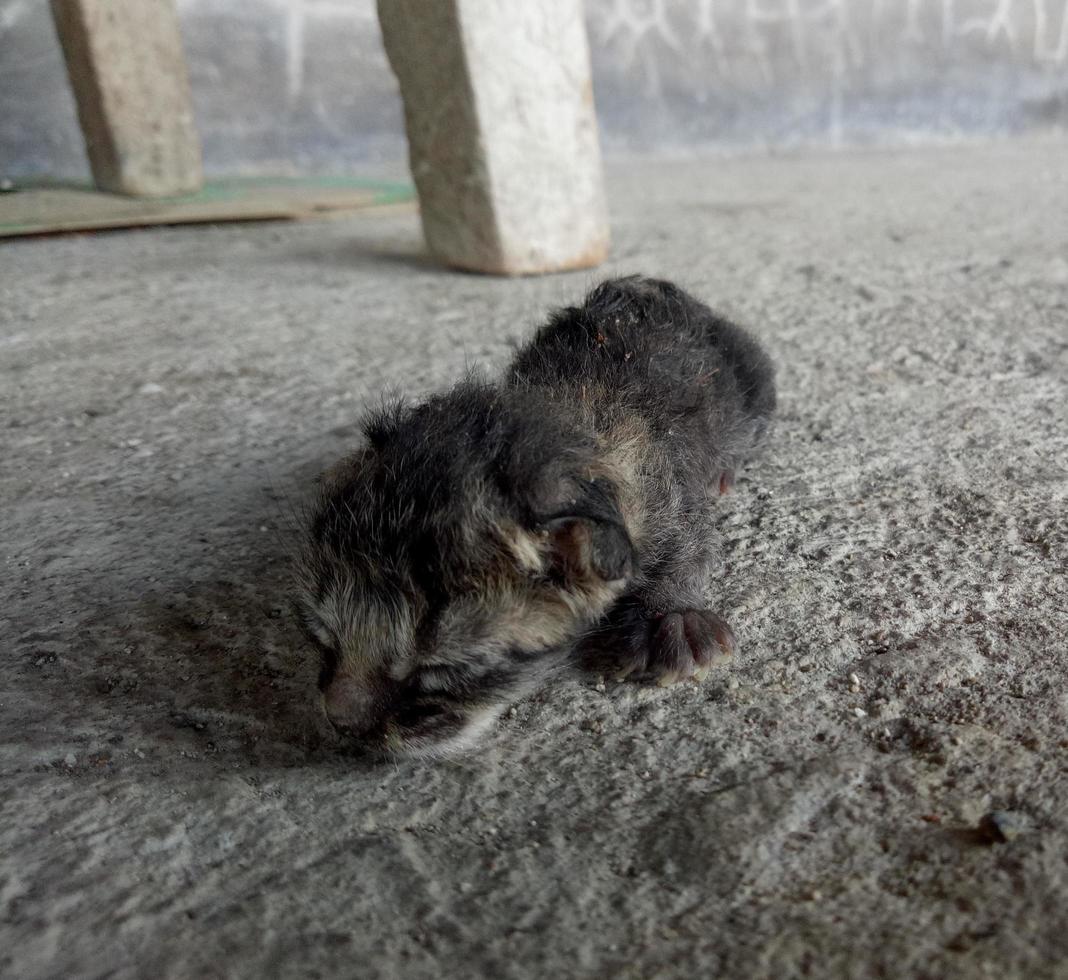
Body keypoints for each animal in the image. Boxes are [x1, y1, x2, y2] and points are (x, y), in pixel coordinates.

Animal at [296, 275, 773, 760]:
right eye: (319, 632)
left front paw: (670, 619)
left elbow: (689, 547)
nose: (340, 720)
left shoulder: (671, 498)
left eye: (442, 669)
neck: (572, 411)